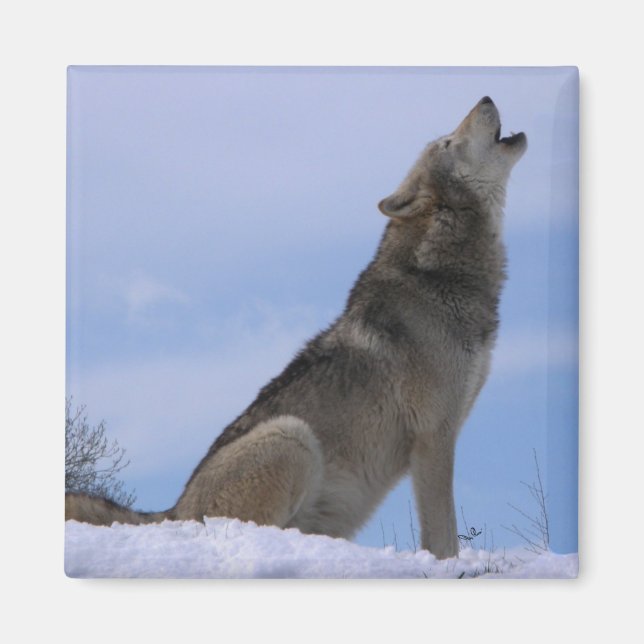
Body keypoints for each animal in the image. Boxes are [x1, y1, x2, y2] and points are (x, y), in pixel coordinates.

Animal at [66, 96, 526, 560]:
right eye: (447, 142)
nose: (486, 98)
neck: (439, 274)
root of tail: (173, 511)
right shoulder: (434, 436)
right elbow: (443, 533)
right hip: (292, 436)